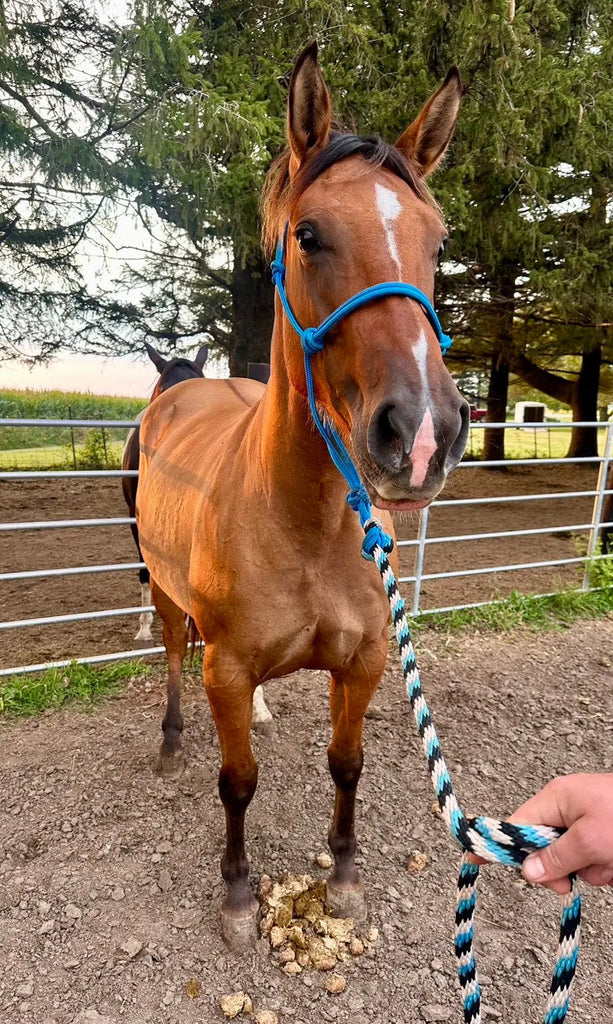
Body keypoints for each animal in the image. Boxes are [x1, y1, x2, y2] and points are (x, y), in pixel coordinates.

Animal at [136, 42, 469, 952]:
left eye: (436, 242)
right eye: (309, 234)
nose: (421, 433)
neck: (305, 525)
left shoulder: (364, 660)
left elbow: (345, 763)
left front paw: (346, 877)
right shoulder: (226, 667)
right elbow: (237, 780)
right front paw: (236, 894)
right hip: (165, 594)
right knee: (172, 653)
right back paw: (172, 740)